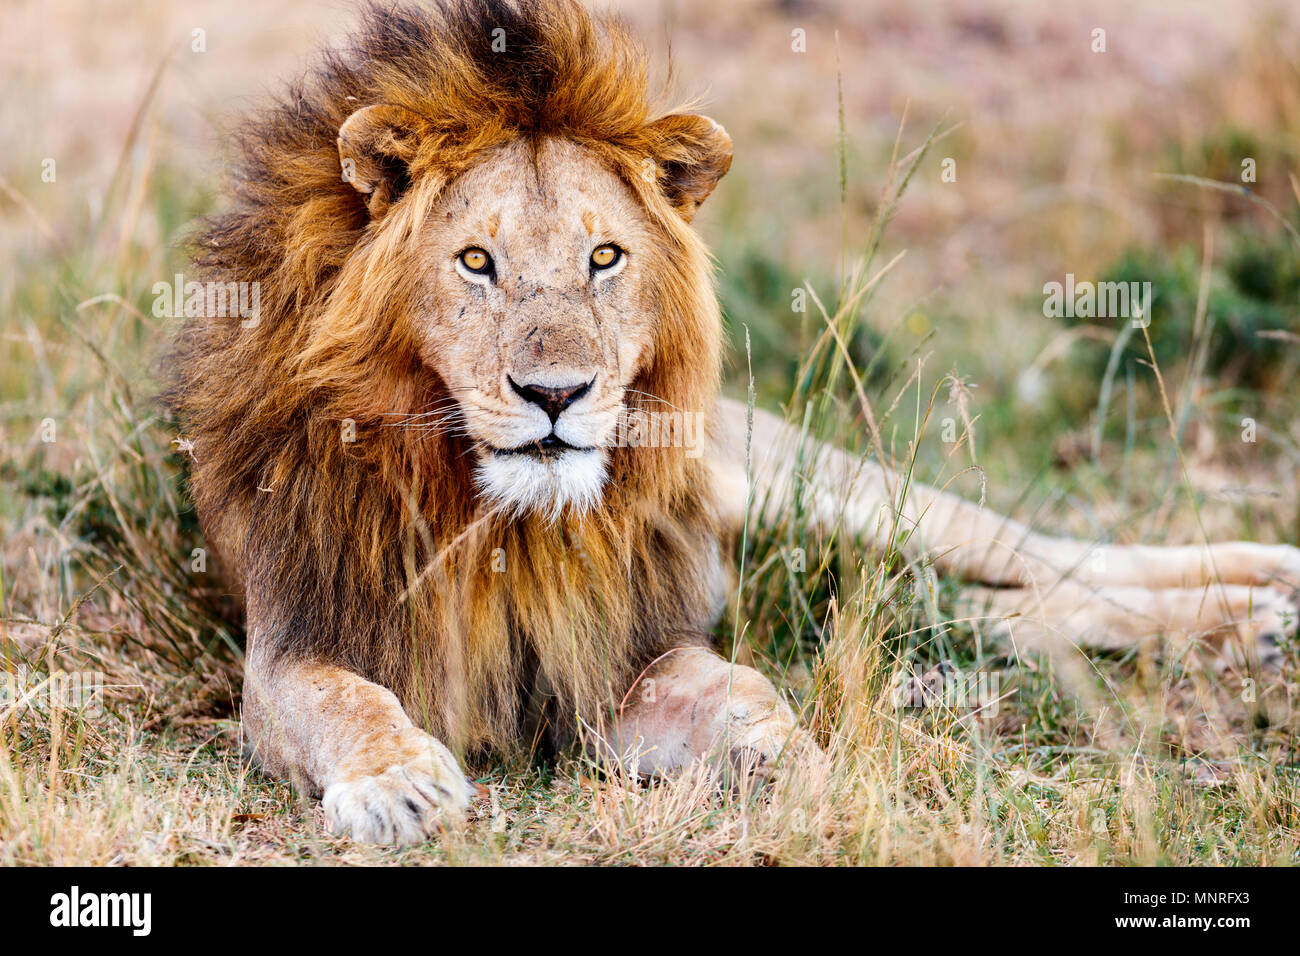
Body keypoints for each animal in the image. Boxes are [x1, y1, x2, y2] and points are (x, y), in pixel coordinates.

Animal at [162, 0, 1300, 842]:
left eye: (605, 257)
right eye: (475, 262)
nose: (557, 395)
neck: (493, 519)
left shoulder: (626, 659)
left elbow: (746, 690)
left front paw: (803, 762)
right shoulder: (293, 644)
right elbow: (342, 701)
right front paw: (398, 781)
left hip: (811, 489)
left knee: (1050, 557)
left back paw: (1255, 591)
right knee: (985, 608)